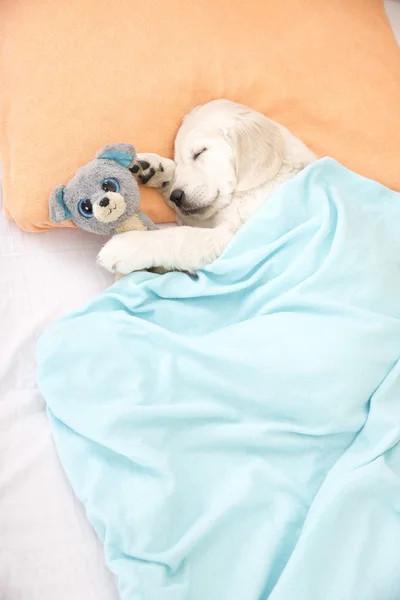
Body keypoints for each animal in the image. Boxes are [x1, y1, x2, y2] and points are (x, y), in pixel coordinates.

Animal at [97, 101, 316, 274]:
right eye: (180, 160)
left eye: (200, 152)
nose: (177, 196)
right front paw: (155, 168)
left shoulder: (238, 241)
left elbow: (181, 235)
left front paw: (126, 246)